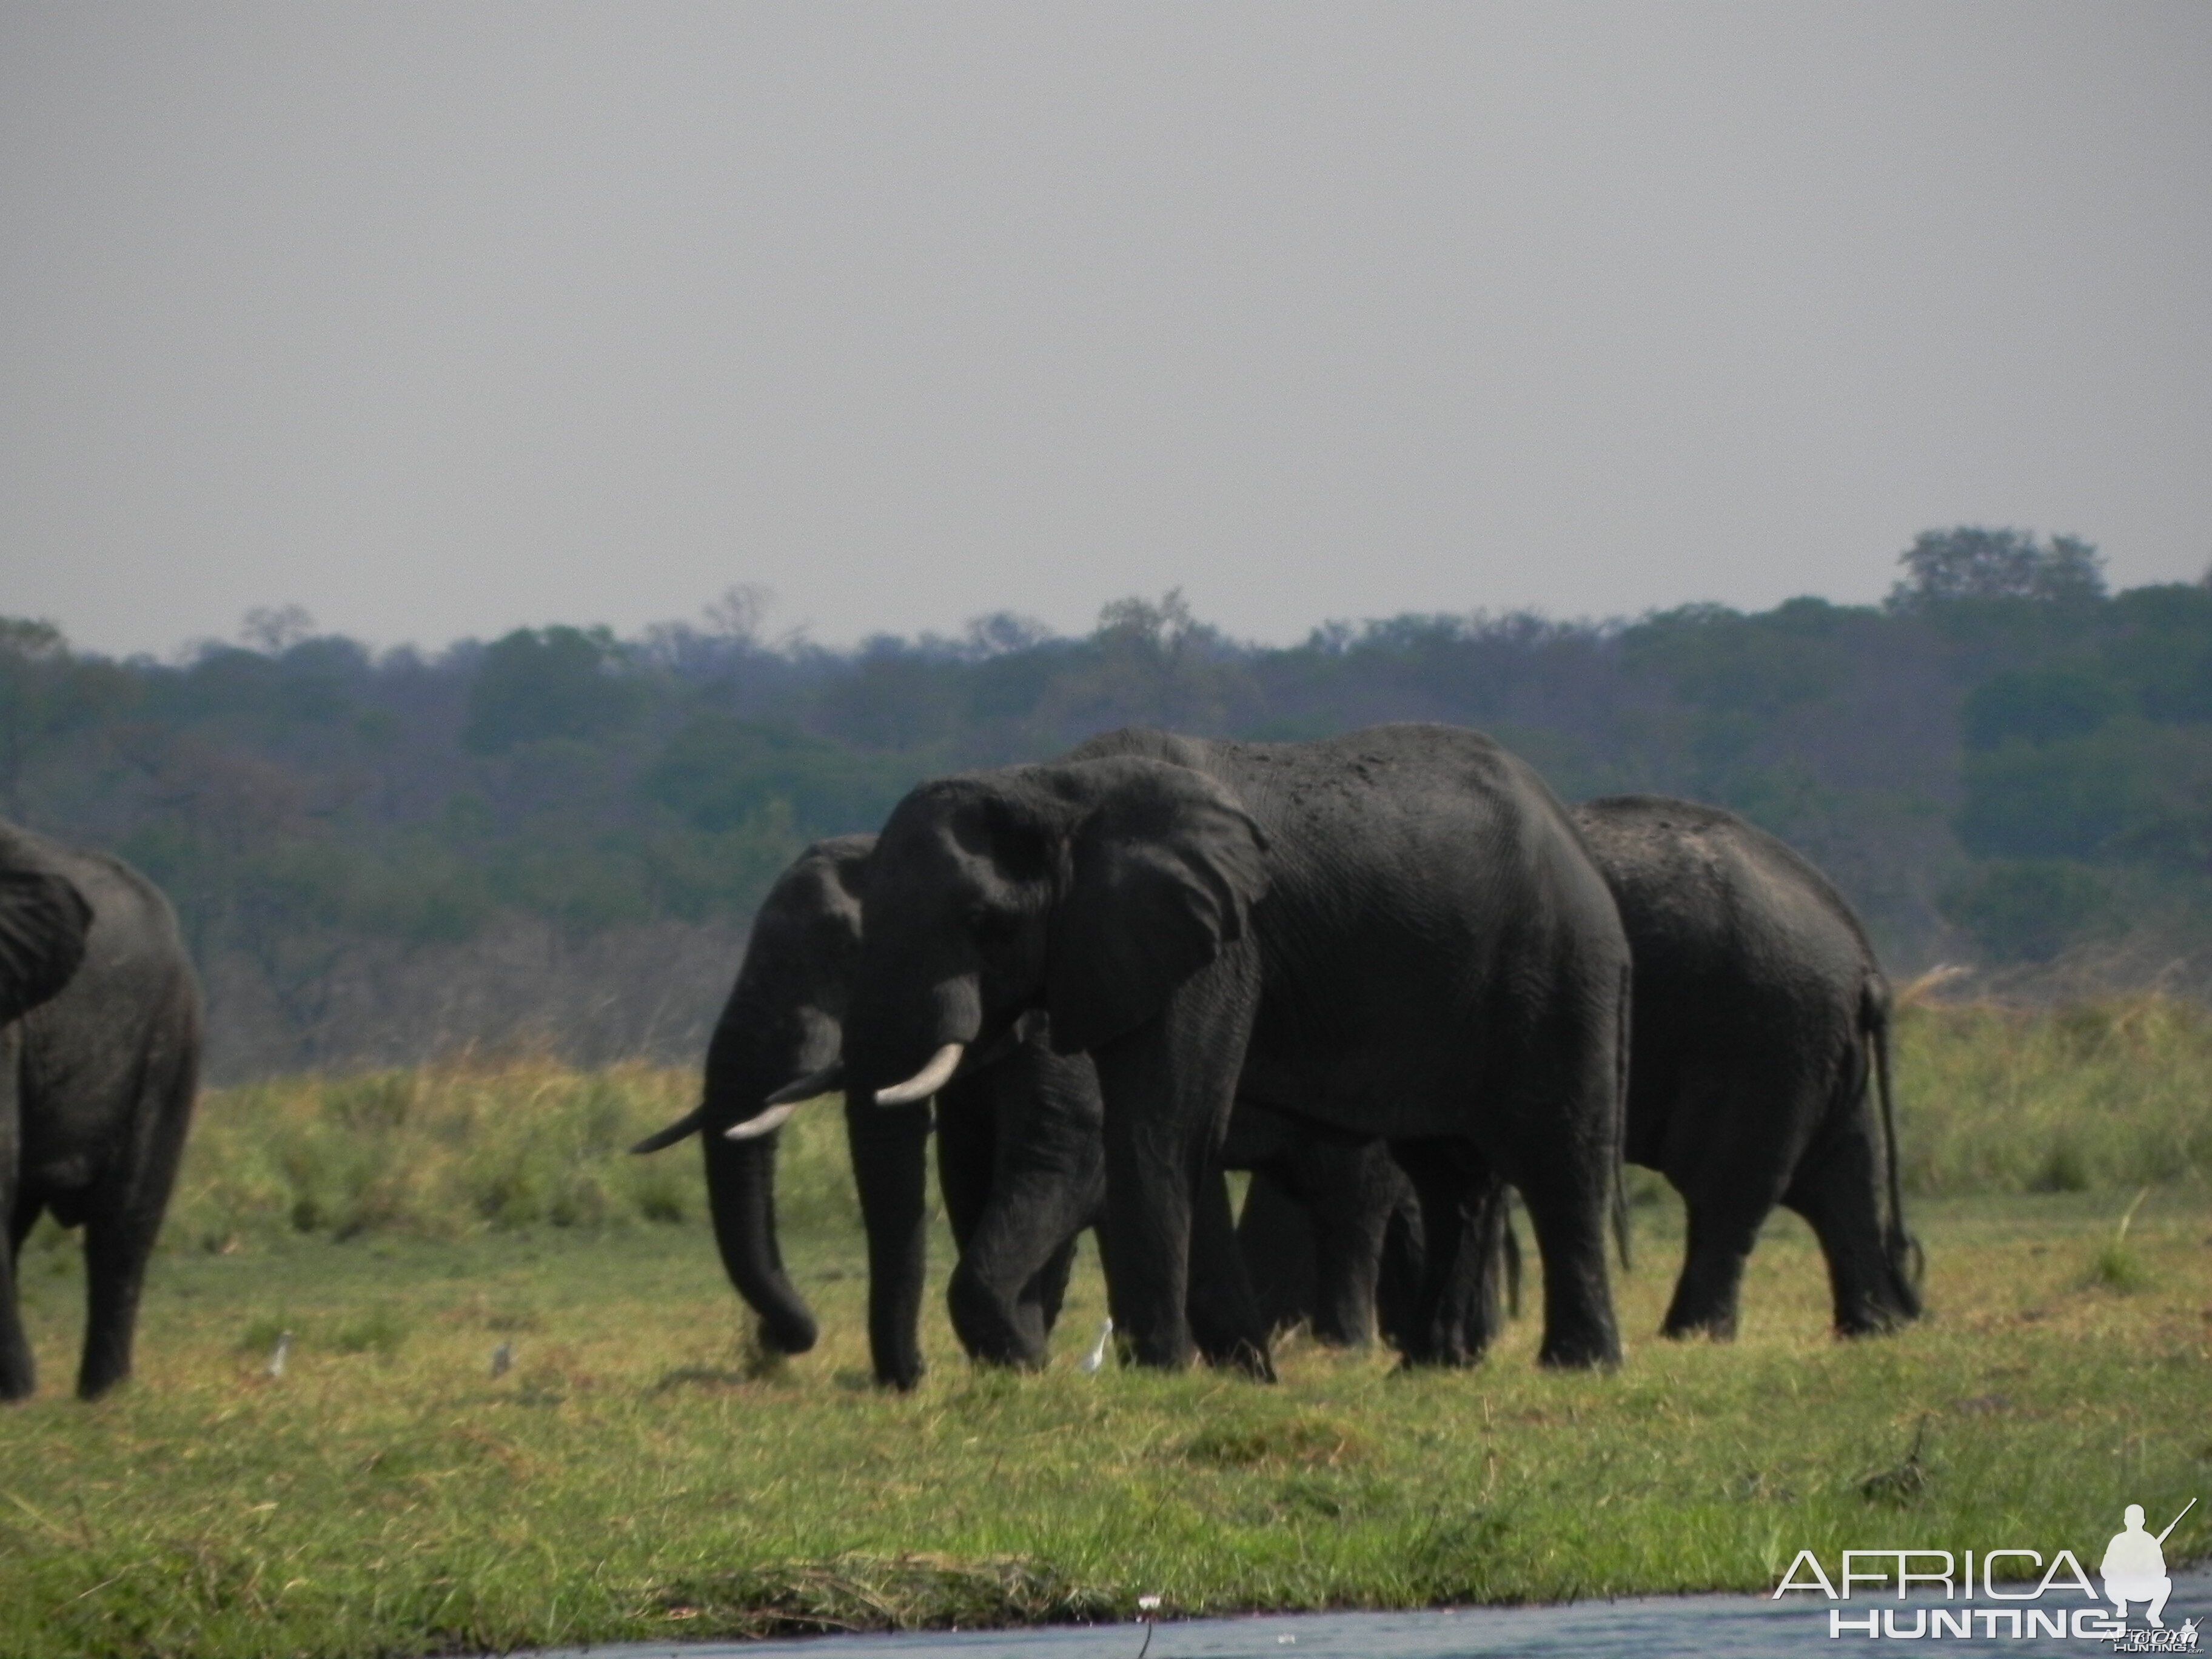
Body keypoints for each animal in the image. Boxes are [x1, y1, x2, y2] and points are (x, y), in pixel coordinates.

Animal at [831, 725, 1627, 1380]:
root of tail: (1572, 831)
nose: (914, 1379)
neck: (1051, 786)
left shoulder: (1220, 946)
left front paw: (1159, 1371)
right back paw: (1428, 1369)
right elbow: (1177, 1136)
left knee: (1559, 1157)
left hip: (1558, 970)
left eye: (982, 921)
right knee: (1449, 1177)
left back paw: (1576, 1366)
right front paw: (1243, 1375)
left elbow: (1162, 1125)